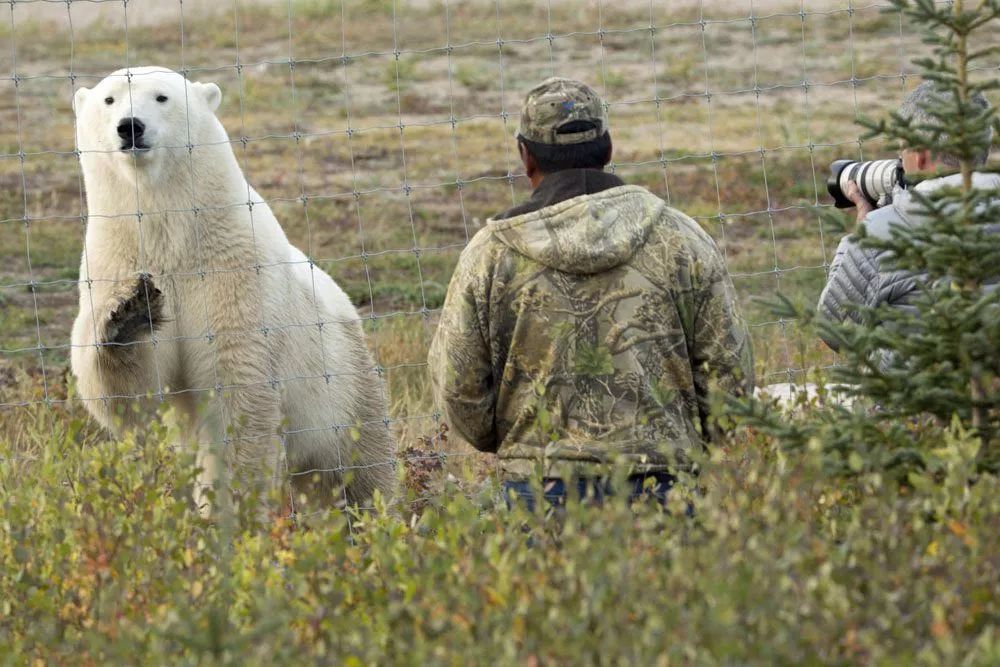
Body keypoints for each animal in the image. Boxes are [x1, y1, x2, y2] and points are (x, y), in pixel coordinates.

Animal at [70, 68, 396, 512]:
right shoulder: (113, 260)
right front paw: (129, 314)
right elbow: (130, 394)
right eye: (109, 100)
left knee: (358, 463)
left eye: (161, 97)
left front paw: (231, 506)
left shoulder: (233, 267)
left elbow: (237, 388)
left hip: (343, 380)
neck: (171, 232)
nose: (130, 126)